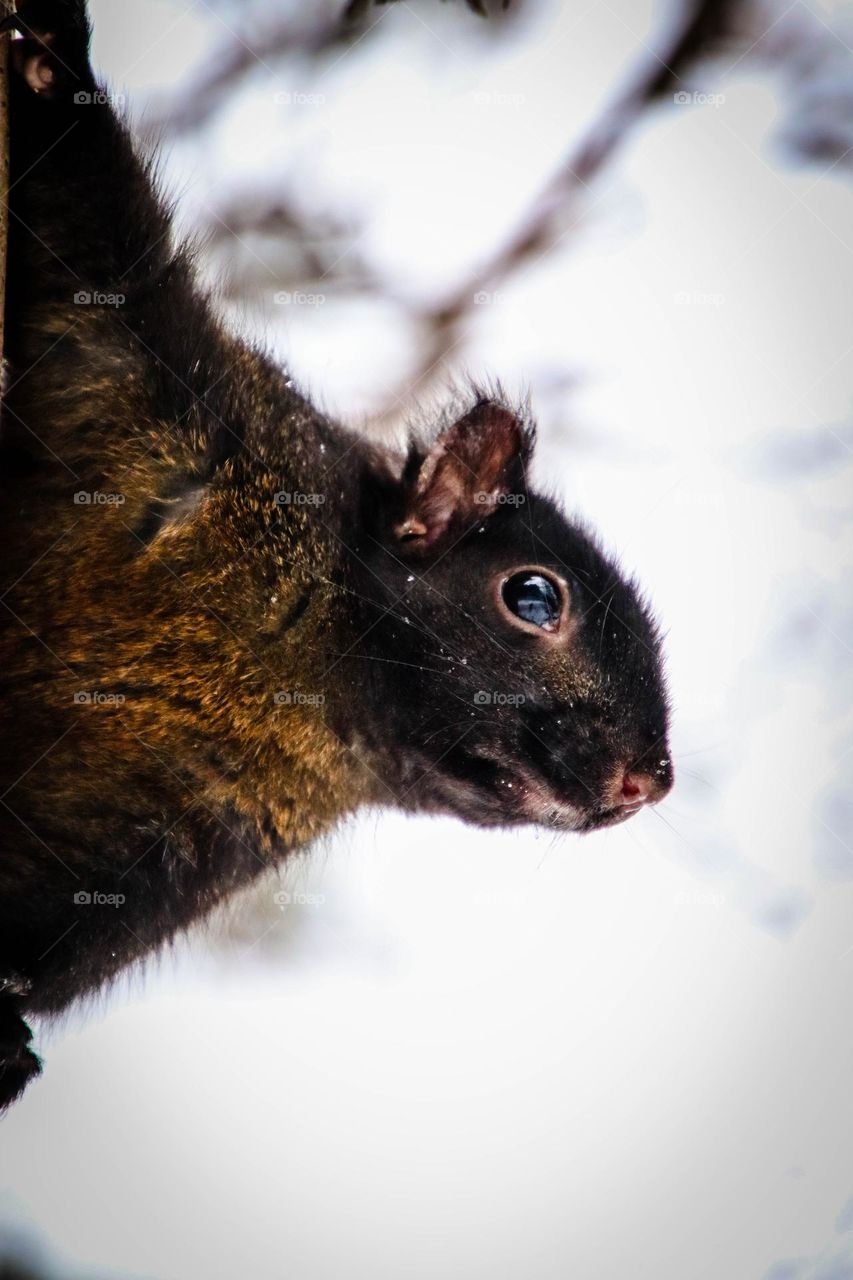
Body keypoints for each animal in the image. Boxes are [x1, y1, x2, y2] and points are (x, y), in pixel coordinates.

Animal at [0, 0, 673, 1109]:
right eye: (534, 598)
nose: (647, 781)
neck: (298, 653)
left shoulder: (174, 840)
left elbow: (40, 945)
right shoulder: (145, 382)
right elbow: (77, 223)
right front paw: (49, 59)